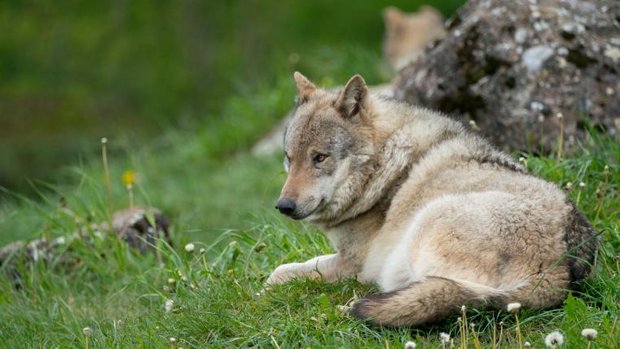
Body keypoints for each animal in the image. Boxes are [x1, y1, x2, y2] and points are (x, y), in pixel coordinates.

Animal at [266, 71, 600, 326]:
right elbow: (284, 269)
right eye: (289, 158)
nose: (283, 206)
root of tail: (560, 271)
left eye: (319, 158)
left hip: (426, 226)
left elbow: (280, 274)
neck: (386, 164)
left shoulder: (352, 263)